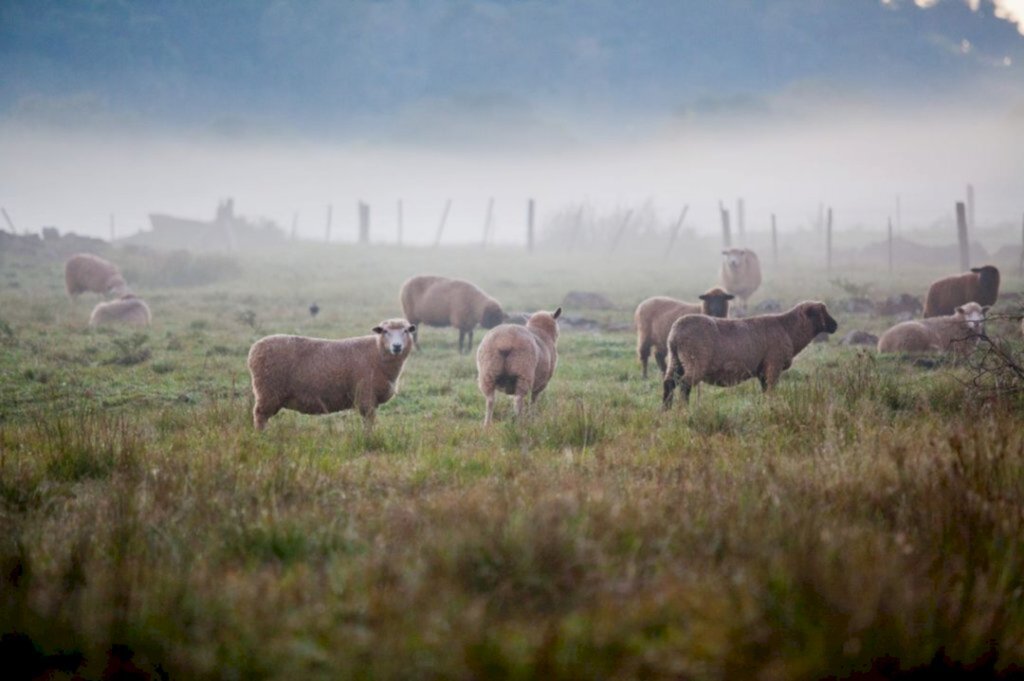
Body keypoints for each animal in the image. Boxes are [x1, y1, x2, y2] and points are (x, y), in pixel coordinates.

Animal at [659, 301, 835, 405]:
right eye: (822, 312)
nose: (835, 325)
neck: (788, 329)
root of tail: (675, 334)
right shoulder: (774, 365)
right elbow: (771, 390)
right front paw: (771, 405)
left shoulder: (763, 371)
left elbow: (765, 389)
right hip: (695, 360)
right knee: (684, 384)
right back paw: (684, 409)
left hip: (676, 360)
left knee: (669, 383)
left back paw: (666, 411)